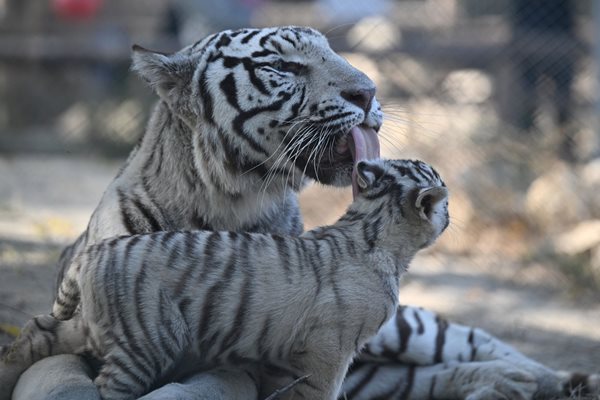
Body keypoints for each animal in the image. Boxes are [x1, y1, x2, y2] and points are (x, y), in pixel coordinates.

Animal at [5, 25, 600, 400]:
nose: (369, 92)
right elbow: (54, 370)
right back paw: (503, 385)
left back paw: (549, 380)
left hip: (407, 330)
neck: (226, 200)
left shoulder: (246, 360)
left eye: (334, 54)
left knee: (487, 345)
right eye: (283, 67)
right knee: (416, 380)